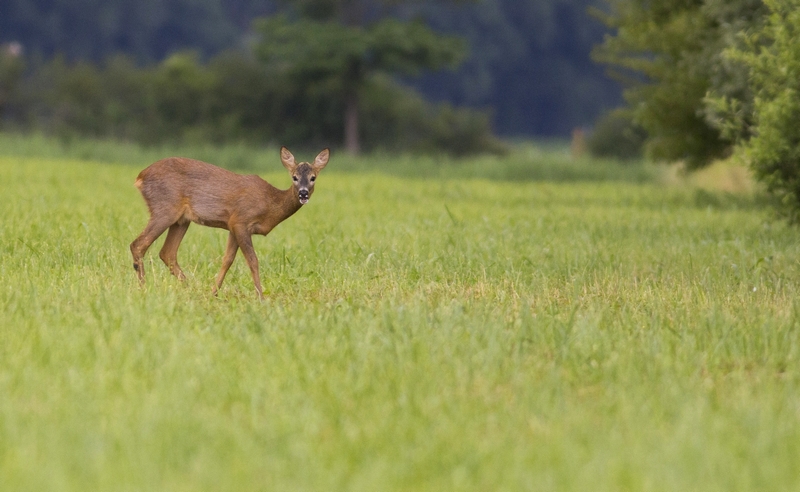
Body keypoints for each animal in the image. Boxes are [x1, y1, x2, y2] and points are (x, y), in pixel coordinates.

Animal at [130, 146, 330, 298]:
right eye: (294, 177)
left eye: (313, 178)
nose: (303, 193)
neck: (271, 203)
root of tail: (139, 177)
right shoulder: (241, 221)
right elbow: (253, 261)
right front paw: (261, 297)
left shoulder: (232, 226)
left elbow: (227, 260)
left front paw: (213, 292)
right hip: (164, 208)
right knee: (138, 244)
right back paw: (143, 288)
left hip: (181, 220)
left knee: (167, 253)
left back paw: (191, 288)